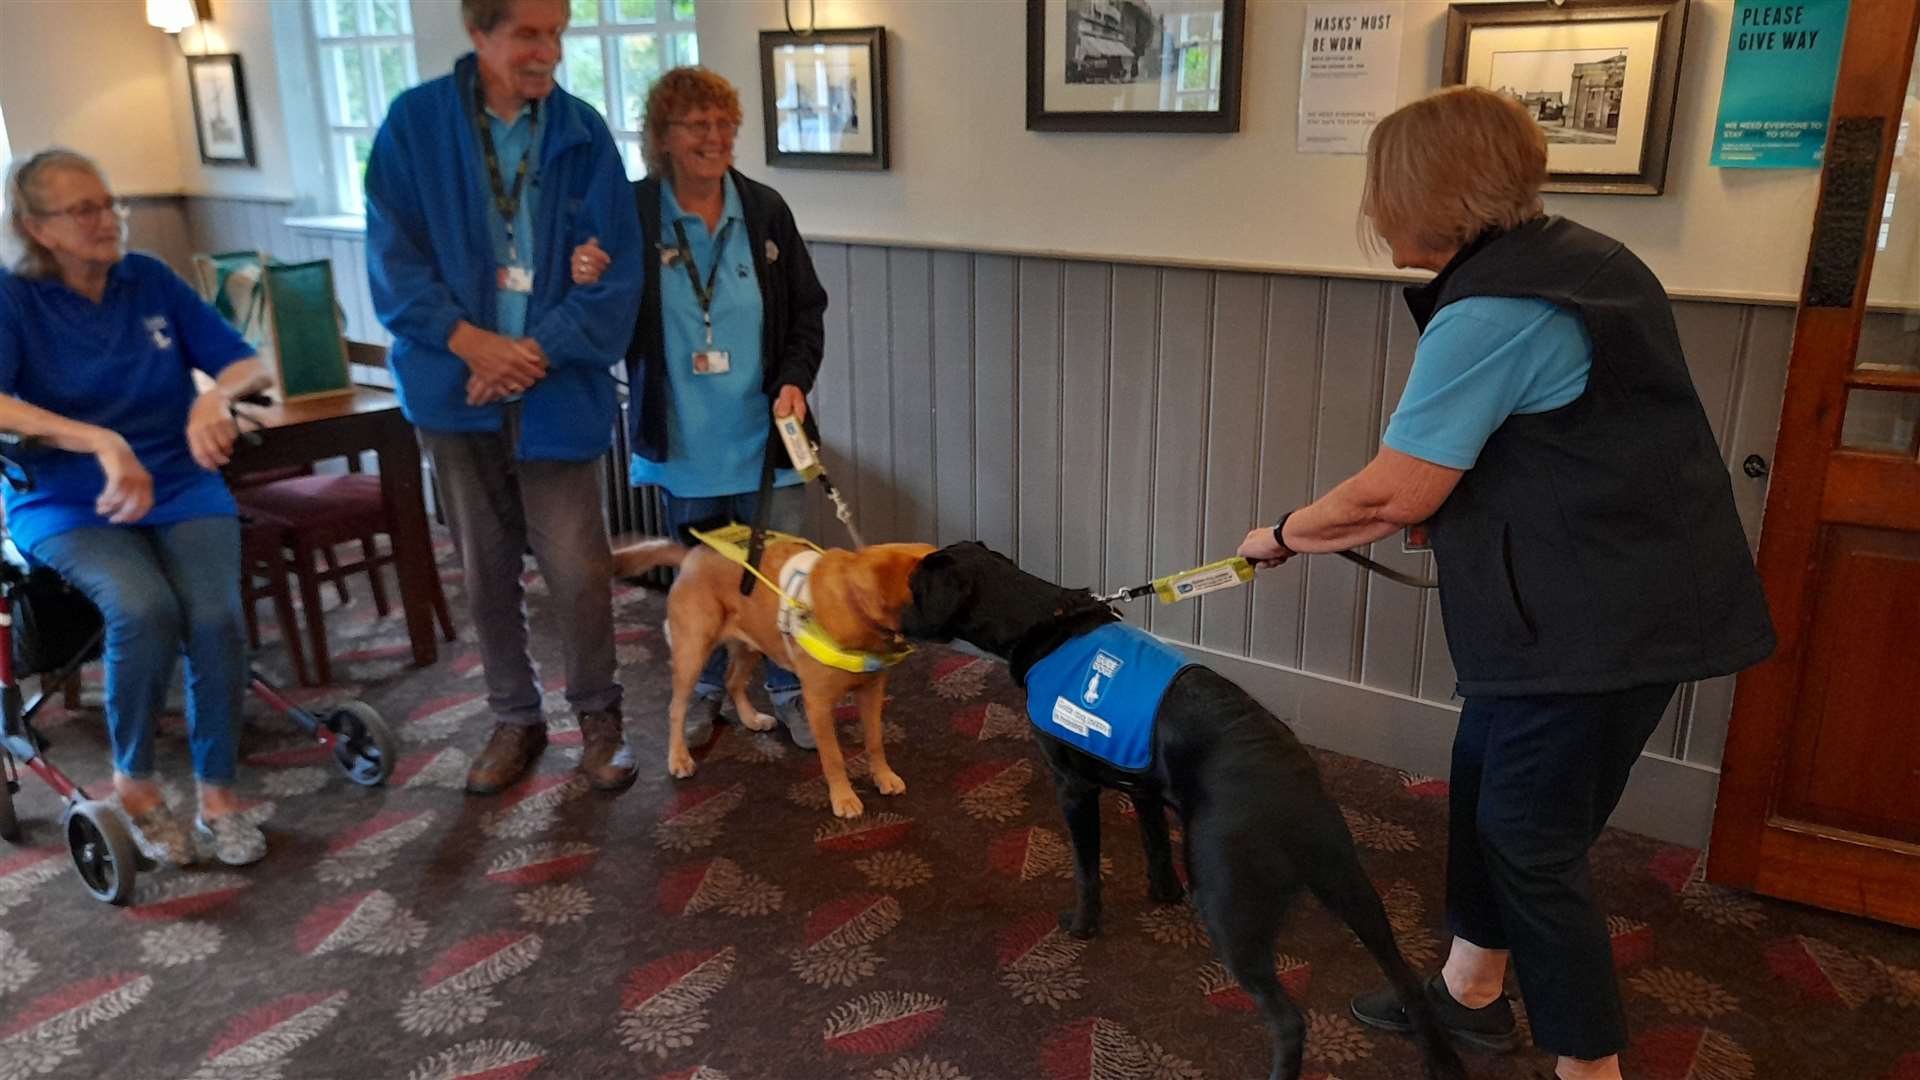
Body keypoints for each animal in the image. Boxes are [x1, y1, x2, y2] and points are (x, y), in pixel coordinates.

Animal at [610, 530, 933, 814]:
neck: (852, 603)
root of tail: (692, 555)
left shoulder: (872, 691)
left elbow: (875, 741)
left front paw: (884, 776)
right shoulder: (817, 703)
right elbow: (833, 757)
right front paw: (843, 797)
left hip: (751, 644)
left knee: (733, 681)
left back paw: (751, 719)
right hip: (693, 652)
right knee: (677, 707)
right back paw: (678, 758)